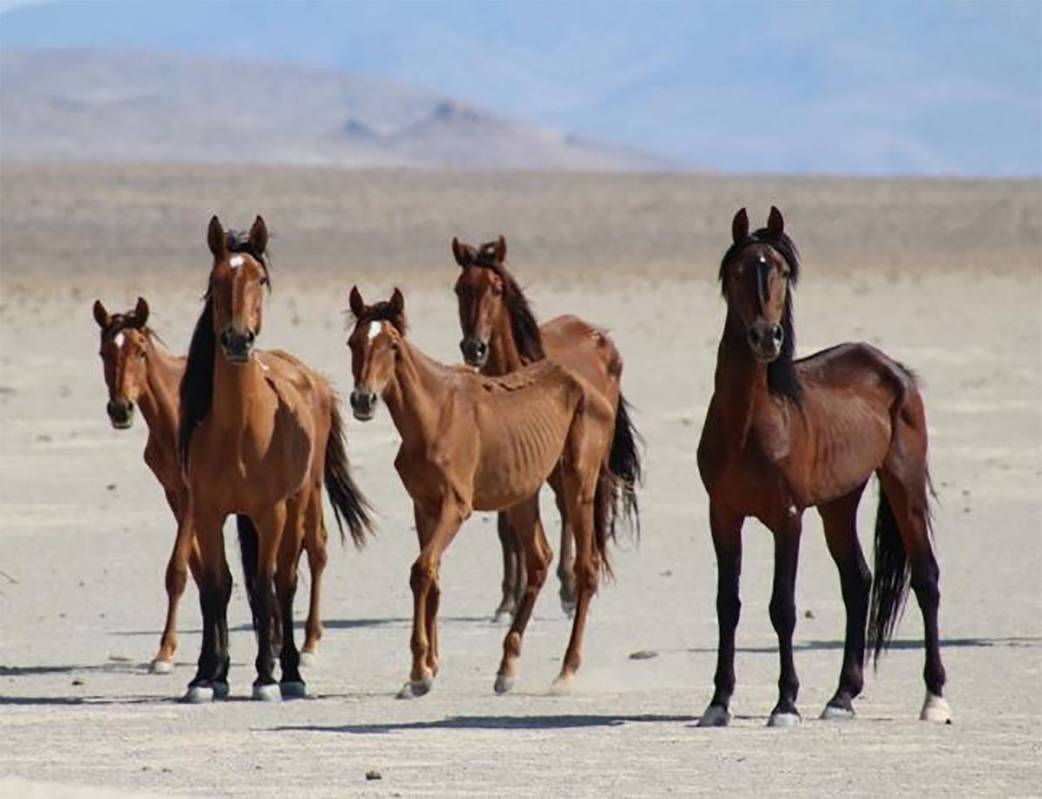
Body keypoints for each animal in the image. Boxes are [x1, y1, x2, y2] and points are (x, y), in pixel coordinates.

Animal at [177, 215, 373, 704]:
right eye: (216, 280)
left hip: (299, 503)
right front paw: (206, 677)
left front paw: (266, 677)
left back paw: (290, 672)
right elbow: (216, 588)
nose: (237, 339)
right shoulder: (207, 513)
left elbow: (266, 588)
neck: (240, 430)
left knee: (285, 581)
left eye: (260, 280)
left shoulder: (270, 513)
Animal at [345, 289, 621, 700]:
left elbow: (421, 570)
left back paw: (566, 671)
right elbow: (433, 575)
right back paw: (506, 668)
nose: (363, 400)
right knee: (539, 559)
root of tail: (590, 386)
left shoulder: (455, 507)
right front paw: (429, 667)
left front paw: (419, 674)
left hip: (577, 487)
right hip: (523, 496)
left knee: (586, 569)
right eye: (353, 343)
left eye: (392, 345)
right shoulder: (424, 506)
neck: (435, 414)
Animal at [450, 234, 637, 620]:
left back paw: (569, 589)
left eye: (497, 288)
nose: (474, 348)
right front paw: (508, 599)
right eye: (460, 288)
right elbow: (507, 527)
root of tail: (599, 336)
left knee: (570, 510)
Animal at [696, 208, 950, 733]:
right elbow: (727, 604)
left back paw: (935, 698)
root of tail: (892, 368)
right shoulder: (723, 515)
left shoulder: (787, 517)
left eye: (782, 270)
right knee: (858, 581)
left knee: (926, 578)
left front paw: (785, 704)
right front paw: (718, 702)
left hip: (904, 486)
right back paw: (842, 696)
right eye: (738, 272)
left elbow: (783, 607)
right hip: (838, 503)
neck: (749, 421)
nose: (767, 337)